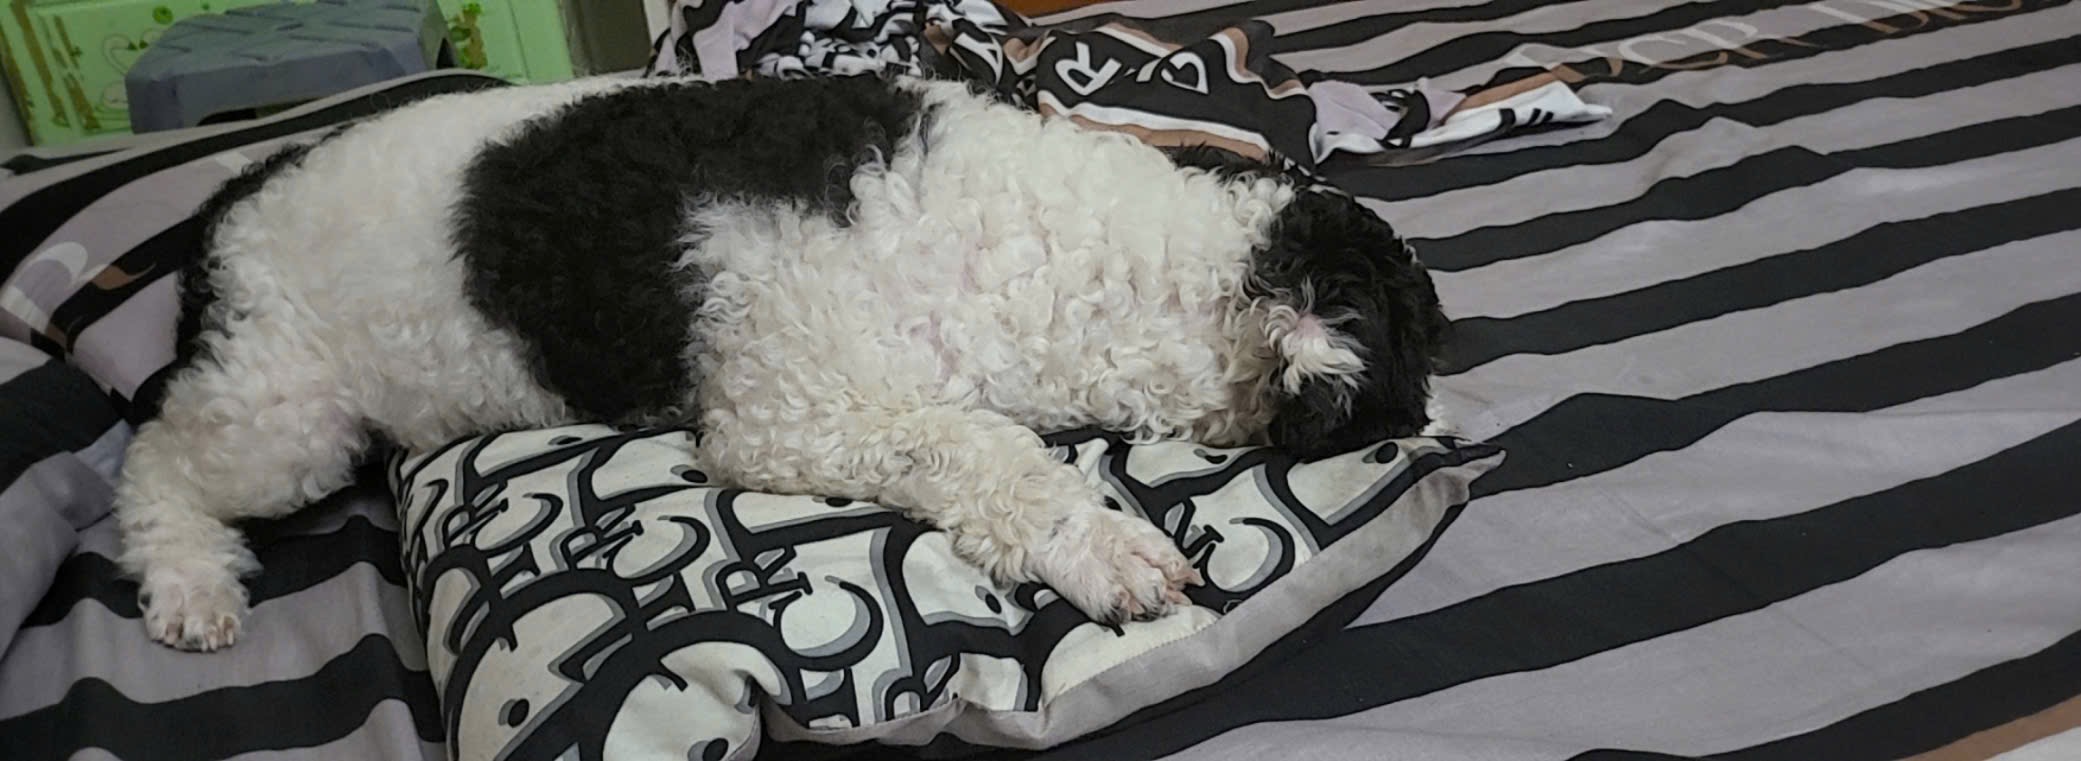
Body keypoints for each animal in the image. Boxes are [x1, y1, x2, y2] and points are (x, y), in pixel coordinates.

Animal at [116, 73, 1448, 651]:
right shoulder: (791, 410)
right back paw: (188, 585)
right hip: (280, 413)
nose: (1438, 422)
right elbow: (982, 449)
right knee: (153, 462)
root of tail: (229, 202)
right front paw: (1102, 542)